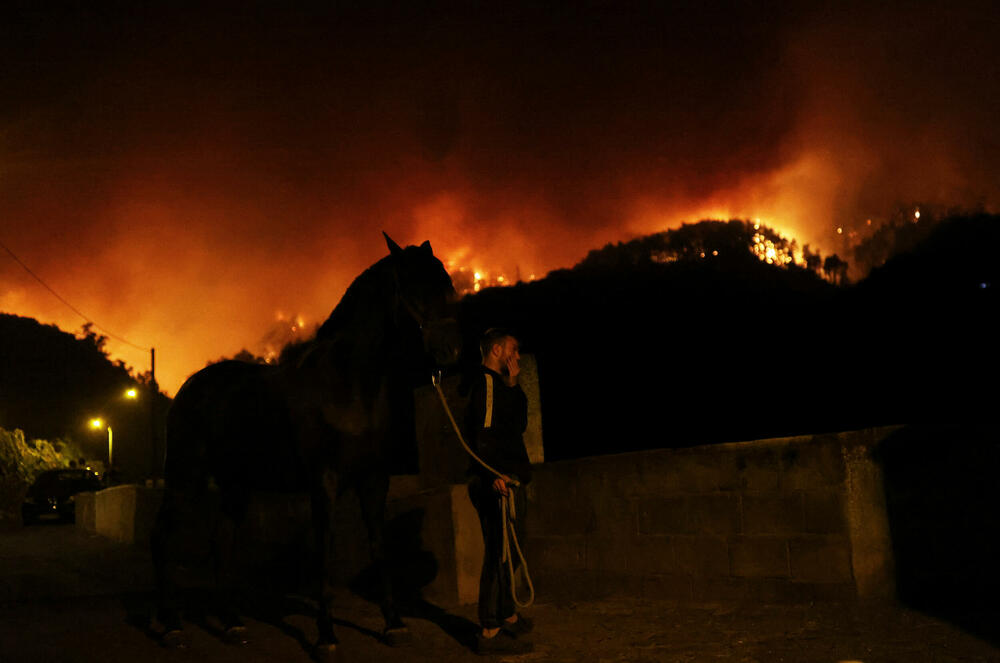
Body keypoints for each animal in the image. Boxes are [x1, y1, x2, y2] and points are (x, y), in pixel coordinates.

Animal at [151, 235, 460, 660]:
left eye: (446, 284)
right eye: (411, 287)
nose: (450, 351)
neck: (349, 386)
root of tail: (190, 387)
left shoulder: (373, 480)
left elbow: (379, 548)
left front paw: (394, 625)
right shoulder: (323, 482)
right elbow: (323, 554)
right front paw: (326, 636)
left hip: (234, 485)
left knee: (222, 541)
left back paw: (232, 624)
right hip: (185, 477)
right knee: (166, 539)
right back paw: (172, 627)